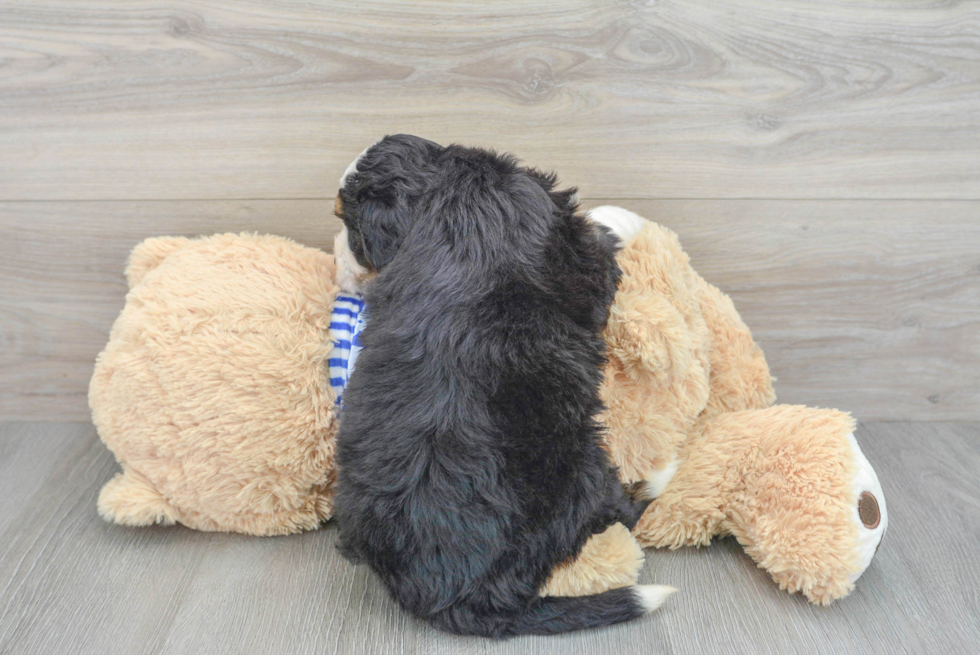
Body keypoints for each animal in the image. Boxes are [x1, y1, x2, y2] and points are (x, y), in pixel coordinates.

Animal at [334, 136, 668, 640]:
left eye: (347, 226)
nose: (335, 264)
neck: (444, 186)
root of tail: (457, 594)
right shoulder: (578, 254)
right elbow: (600, 232)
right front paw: (625, 216)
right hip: (584, 467)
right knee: (617, 515)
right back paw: (653, 482)